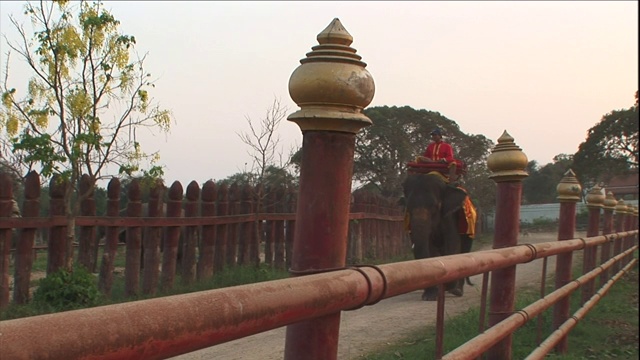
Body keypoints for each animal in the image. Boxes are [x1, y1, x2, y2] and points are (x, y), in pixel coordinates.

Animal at [404, 172, 470, 300]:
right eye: (408, 208)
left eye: (435, 206)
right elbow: (431, 248)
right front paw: (430, 296)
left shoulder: (450, 216)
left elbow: (452, 242)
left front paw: (450, 287)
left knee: (463, 249)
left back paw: (457, 291)